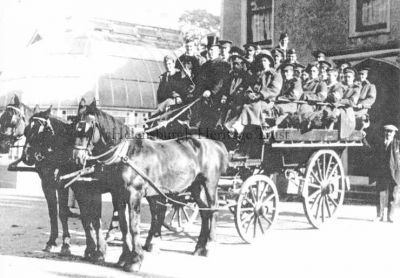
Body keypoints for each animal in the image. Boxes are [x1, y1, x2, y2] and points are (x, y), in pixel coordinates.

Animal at [0, 95, 72, 254]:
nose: (2, 145)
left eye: (11, 118)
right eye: (27, 130)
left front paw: (66, 243)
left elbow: (63, 211)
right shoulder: (46, 182)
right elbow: (52, 211)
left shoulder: (63, 183)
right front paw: (51, 241)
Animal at [72, 99, 228, 272]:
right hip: (196, 187)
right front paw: (123, 258)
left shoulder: (134, 194)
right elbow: (124, 225)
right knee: (204, 212)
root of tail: (216, 143)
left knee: (213, 209)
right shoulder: (117, 195)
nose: (77, 157)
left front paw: (135, 260)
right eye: (74, 126)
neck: (127, 154)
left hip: (209, 184)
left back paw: (209, 245)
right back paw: (199, 247)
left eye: (88, 127)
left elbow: (134, 226)